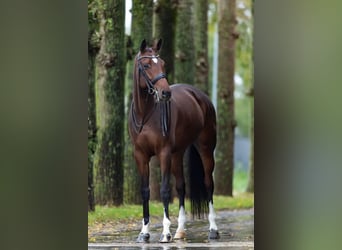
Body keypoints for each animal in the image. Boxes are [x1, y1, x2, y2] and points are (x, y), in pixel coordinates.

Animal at [128, 39, 219, 242]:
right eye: (147, 65)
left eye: (162, 64)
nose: (165, 93)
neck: (146, 115)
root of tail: (199, 95)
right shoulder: (140, 155)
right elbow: (145, 191)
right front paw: (144, 233)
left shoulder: (164, 154)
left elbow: (164, 191)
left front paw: (165, 232)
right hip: (177, 154)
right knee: (181, 187)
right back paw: (180, 231)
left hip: (205, 149)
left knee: (208, 184)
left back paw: (213, 229)